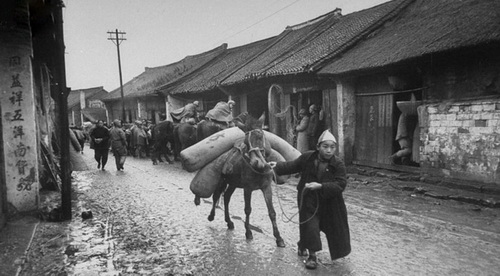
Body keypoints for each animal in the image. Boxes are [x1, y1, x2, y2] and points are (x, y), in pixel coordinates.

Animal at [207, 112, 286, 248]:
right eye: (245, 142)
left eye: (261, 137)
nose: (257, 162)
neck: (259, 169)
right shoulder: (247, 188)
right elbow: (248, 210)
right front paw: (248, 232)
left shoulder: (266, 187)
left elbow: (272, 212)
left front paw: (279, 238)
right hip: (223, 180)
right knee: (216, 195)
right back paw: (212, 216)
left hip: (233, 183)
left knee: (226, 197)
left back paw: (229, 222)